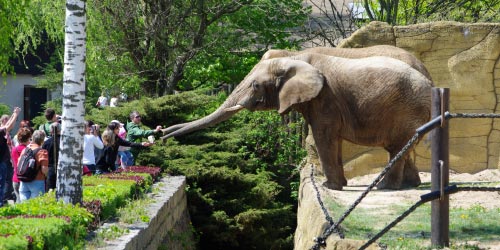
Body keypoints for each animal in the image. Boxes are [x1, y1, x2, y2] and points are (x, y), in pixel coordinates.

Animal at [161, 52, 434, 189]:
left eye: (255, 85)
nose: (161, 133)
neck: (295, 58)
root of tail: (432, 83)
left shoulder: (326, 98)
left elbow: (324, 136)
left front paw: (328, 187)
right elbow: (332, 139)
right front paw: (337, 185)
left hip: (406, 109)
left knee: (397, 147)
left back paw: (385, 188)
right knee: (402, 146)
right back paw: (409, 185)